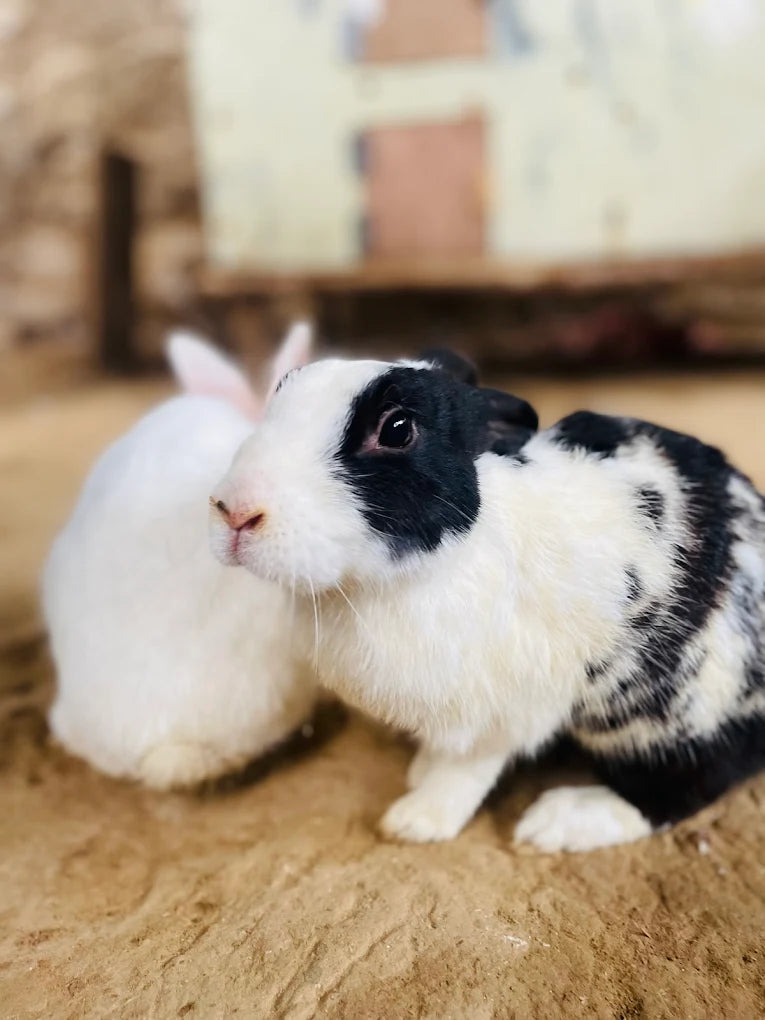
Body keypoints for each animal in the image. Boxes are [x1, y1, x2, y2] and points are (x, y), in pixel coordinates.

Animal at [208, 347, 765, 851]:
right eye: (281, 392)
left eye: (397, 430)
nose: (235, 511)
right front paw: (421, 770)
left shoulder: (506, 706)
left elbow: (468, 768)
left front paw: (417, 820)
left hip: (669, 713)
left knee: (683, 786)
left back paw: (558, 822)